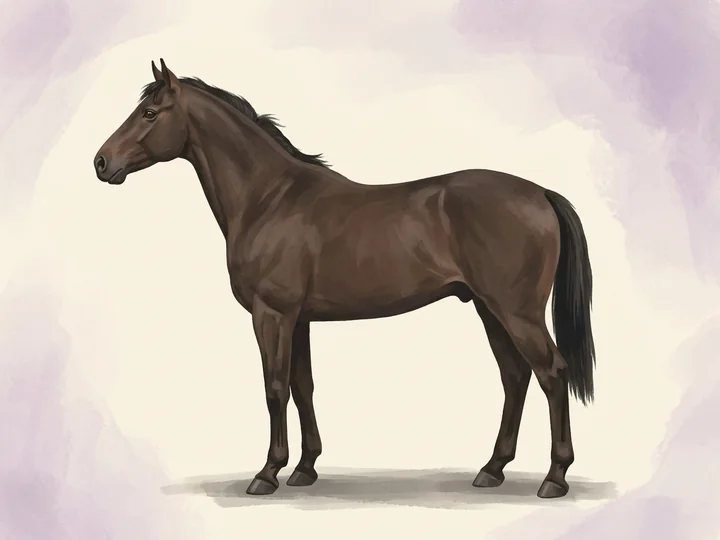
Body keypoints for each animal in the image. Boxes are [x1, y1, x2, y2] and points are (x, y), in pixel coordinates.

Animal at [94, 59, 596, 499]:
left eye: (149, 113)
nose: (101, 162)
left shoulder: (271, 314)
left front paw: (267, 474)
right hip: (490, 311)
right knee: (515, 377)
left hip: (517, 313)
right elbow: (302, 387)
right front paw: (304, 468)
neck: (269, 199)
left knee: (551, 374)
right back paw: (491, 470)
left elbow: (274, 388)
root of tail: (540, 193)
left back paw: (554, 479)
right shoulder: (298, 319)